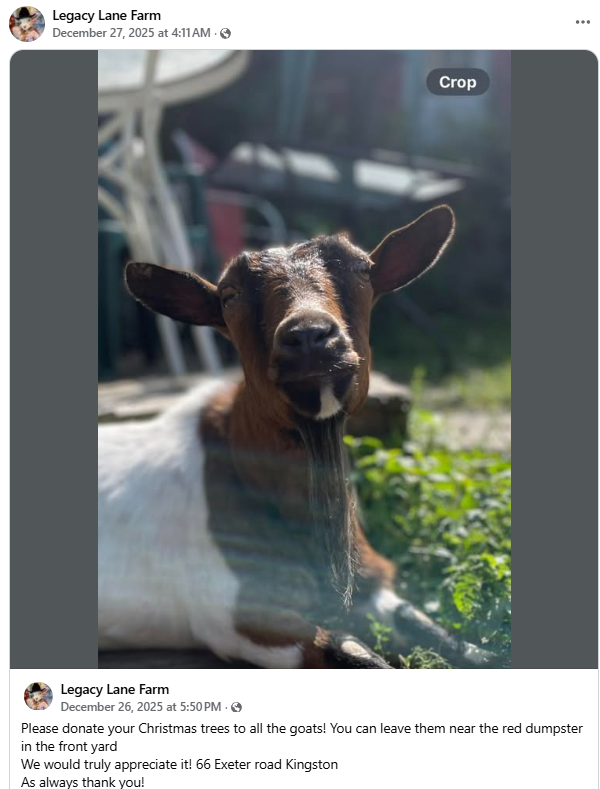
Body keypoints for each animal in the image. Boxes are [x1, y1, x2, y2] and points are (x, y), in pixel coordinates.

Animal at [98, 205, 496, 668]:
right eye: (229, 295)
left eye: (362, 270)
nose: (309, 335)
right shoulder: (242, 618)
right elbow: (355, 652)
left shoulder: (370, 583)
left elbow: (448, 638)